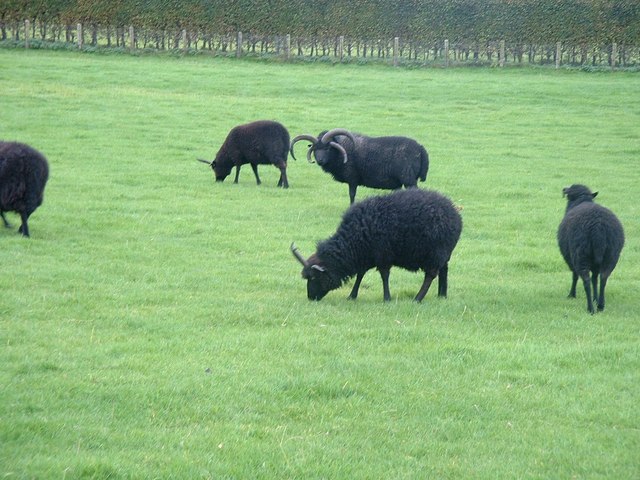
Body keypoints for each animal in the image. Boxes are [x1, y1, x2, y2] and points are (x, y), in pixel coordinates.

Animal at [290, 128, 430, 203]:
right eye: (315, 149)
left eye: (328, 148)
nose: (319, 160)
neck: (342, 151)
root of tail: (421, 148)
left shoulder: (352, 178)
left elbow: (352, 194)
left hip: (409, 179)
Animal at [292, 189, 462, 302]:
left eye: (314, 278)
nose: (311, 298)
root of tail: (455, 215)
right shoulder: (366, 256)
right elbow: (360, 275)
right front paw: (352, 296)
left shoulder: (383, 255)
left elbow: (384, 276)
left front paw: (387, 298)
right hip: (443, 253)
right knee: (444, 270)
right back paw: (442, 295)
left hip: (435, 252)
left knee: (430, 275)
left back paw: (418, 298)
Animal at [556, 182, 624, 314]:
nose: (564, 189)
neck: (581, 200)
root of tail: (598, 228)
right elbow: (595, 279)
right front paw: (595, 298)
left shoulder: (571, 259)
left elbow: (575, 276)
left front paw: (572, 295)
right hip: (611, 255)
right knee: (603, 278)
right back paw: (600, 305)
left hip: (580, 255)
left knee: (586, 280)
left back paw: (590, 309)